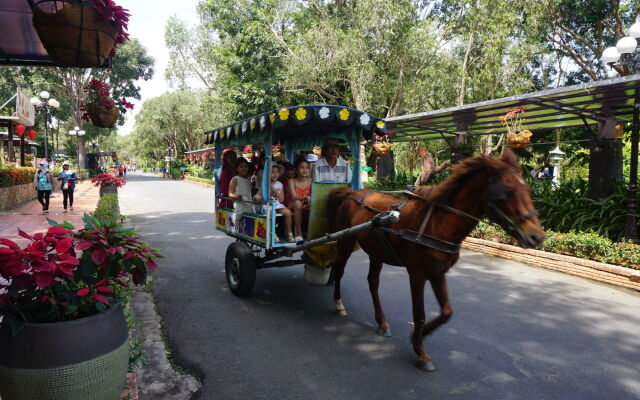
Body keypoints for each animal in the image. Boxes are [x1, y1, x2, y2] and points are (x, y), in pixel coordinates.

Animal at [330, 150, 544, 372]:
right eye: (508, 191)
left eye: (528, 189)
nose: (537, 236)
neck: (438, 222)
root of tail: (351, 193)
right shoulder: (416, 273)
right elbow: (419, 313)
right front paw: (420, 351)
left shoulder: (437, 272)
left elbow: (446, 312)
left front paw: (420, 337)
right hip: (345, 241)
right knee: (339, 270)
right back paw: (339, 304)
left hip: (376, 251)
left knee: (373, 282)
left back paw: (382, 322)